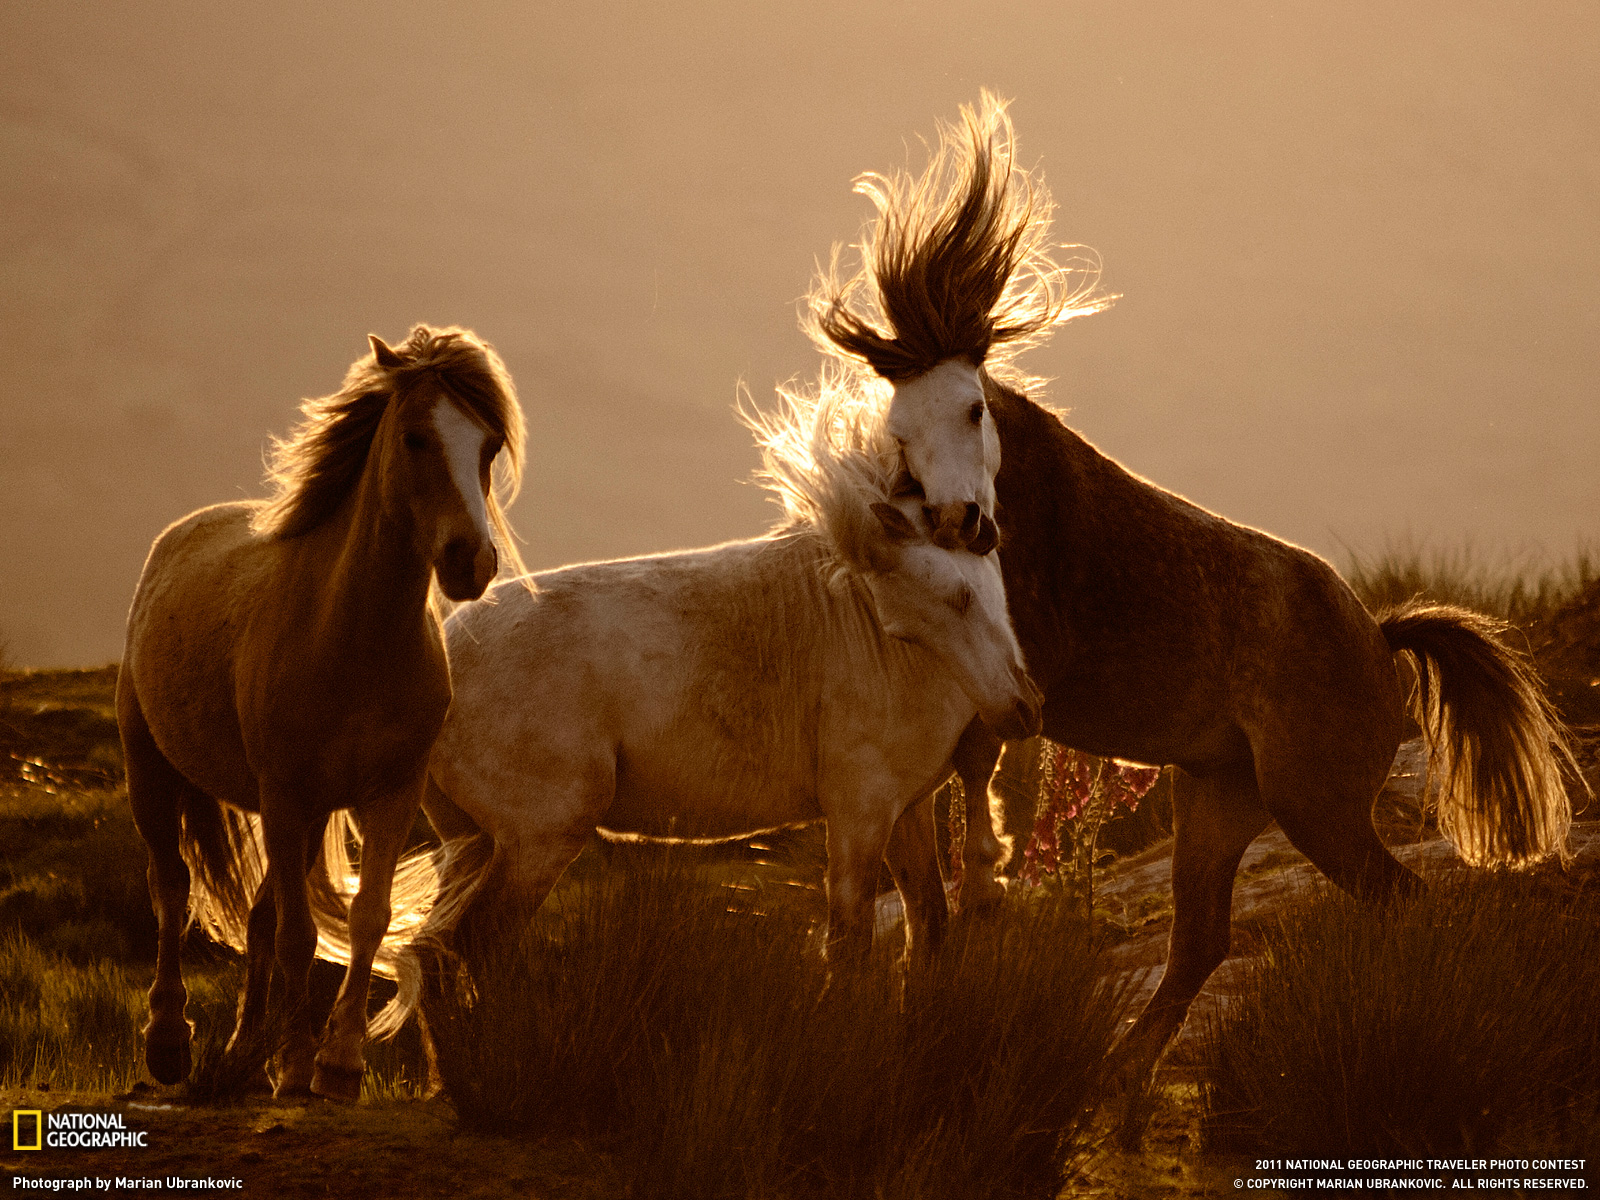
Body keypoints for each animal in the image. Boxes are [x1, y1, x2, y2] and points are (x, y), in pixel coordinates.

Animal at [120, 324, 518, 1107]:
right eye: (415, 437)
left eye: (488, 446)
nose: (471, 561)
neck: (351, 639)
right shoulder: (285, 793)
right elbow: (301, 935)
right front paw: (302, 1064)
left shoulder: (390, 795)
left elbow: (365, 918)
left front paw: (336, 1063)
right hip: (157, 775)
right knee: (172, 888)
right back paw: (172, 1045)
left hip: (300, 821)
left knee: (259, 917)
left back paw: (245, 1054)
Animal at [400, 380, 1043, 992]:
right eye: (947, 602)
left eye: (973, 590)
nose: (1022, 710)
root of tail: (447, 656)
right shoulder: (860, 814)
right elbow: (849, 948)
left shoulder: (907, 809)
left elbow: (929, 927)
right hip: (537, 841)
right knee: (474, 946)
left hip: (469, 841)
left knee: (432, 957)